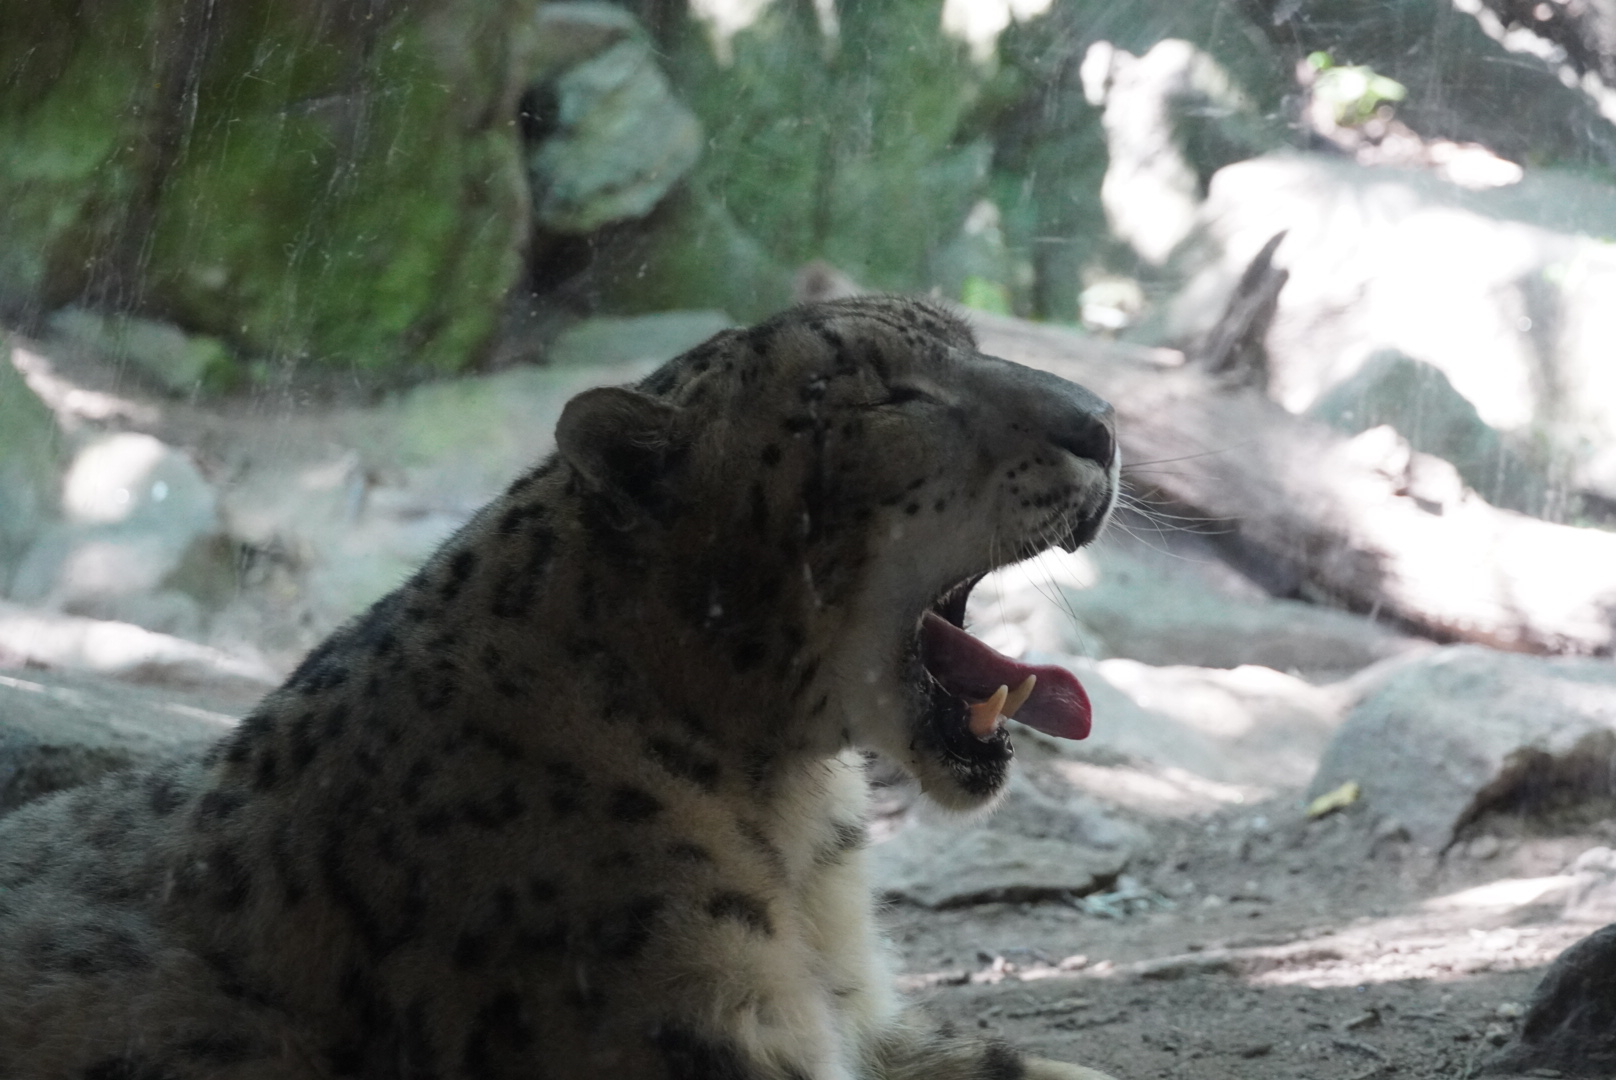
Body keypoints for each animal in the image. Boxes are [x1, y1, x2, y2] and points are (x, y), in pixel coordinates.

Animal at [0, 295, 1121, 1080]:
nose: (1103, 424)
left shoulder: (864, 1019)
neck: (793, 831)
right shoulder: (701, 1025)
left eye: (966, 340)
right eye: (890, 396)